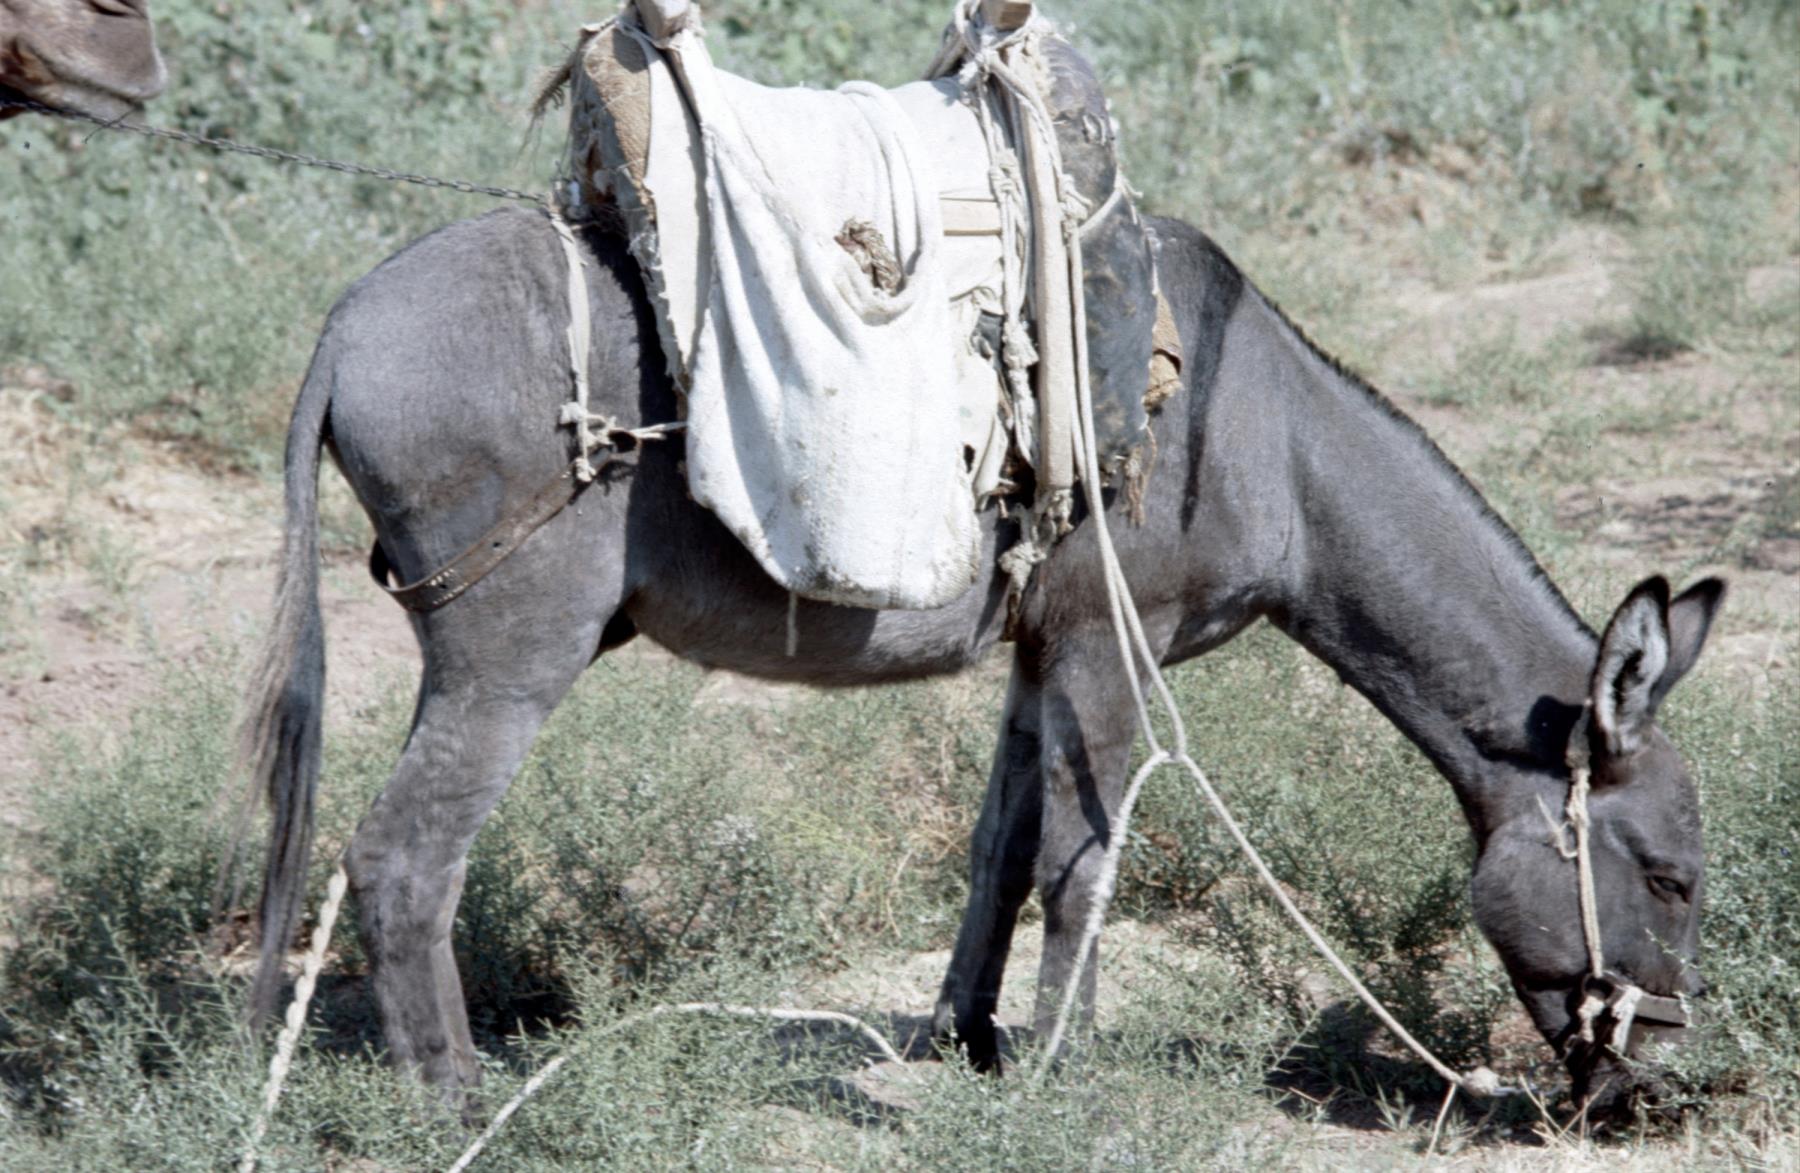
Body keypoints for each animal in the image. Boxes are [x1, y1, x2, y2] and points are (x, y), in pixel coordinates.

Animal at [240, 204, 1723, 1110]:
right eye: (1670, 879)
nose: (1654, 1085)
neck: (1275, 442)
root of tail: (344, 322)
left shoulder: (1036, 652)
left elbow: (1003, 848)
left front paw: (968, 1038)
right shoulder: (1113, 656)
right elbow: (1085, 863)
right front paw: (1064, 1068)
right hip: (514, 649)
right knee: (403, 858)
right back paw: (454, 1100)